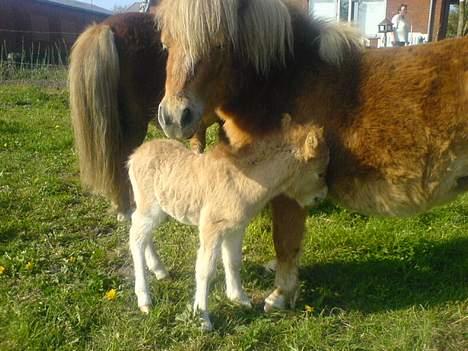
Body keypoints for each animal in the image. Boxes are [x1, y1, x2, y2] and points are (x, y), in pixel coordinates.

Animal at [157, 0, 468, 314]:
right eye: (165, 44)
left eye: (219, 45)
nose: (174, 118)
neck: (286, 82)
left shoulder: (289, 191)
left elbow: (285, 240)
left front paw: (281, 295)